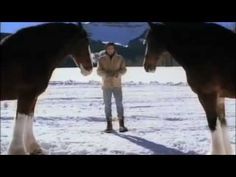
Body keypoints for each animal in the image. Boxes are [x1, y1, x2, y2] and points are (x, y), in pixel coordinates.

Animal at [0, 22, 93, 155]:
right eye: (83, 41)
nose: (90, 68)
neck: (29, 56)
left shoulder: (33, 97)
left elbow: (29, 117)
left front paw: (34, 148)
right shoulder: (26, 96)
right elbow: (21, 120)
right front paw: (18, 150)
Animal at [145, 22, 235, 155]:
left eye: (150, 40)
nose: (147, 66)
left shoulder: (207, 95)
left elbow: (212, 124)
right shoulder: (219, 97)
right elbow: (222, 122)